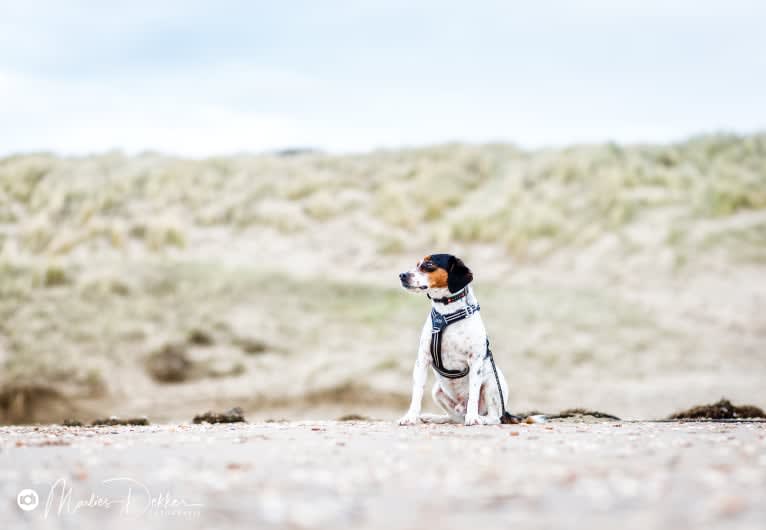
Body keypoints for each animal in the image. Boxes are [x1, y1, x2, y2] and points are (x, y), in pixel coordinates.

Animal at [400, 253, 544, 424]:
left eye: (429, 265)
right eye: (417, 264)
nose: (402, 275)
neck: (446, 315)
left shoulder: (475, 361)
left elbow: (474, 394)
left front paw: (473, 418)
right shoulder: (422, 359)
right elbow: (417, 393)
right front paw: (411, 417)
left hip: (491, 385)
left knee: (494, 418)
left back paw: (479, 418)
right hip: (437, 392)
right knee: (455, 418)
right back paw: (433, 417)